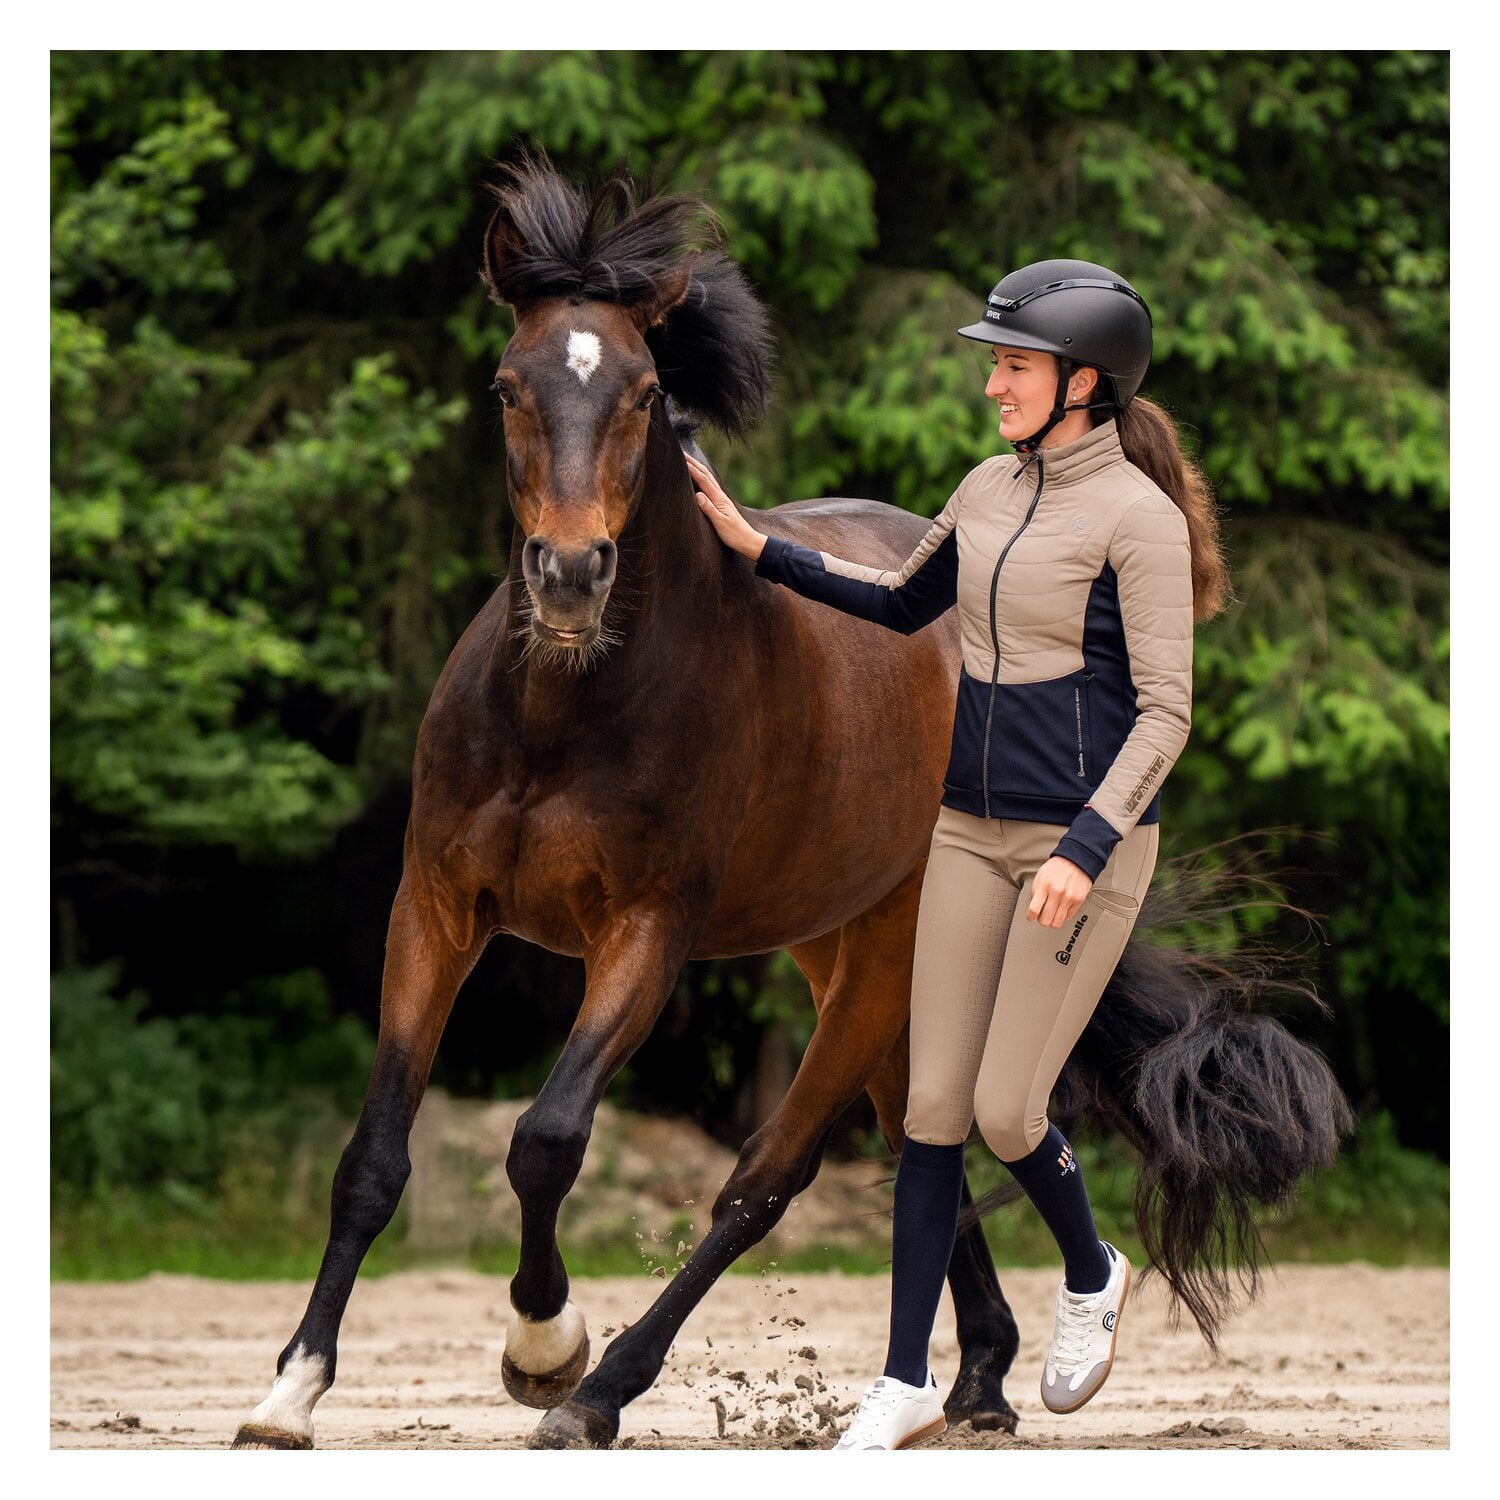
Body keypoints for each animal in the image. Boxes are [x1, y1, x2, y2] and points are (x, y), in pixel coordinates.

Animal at [233, 155, 1350, 1451]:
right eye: (510, 386)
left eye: (643, 391)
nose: (570, 576)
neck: (564, 710)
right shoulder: (436, 908)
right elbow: (373, 1155)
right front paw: (291, 1389)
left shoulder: (647, 935)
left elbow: (548, 1140)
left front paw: (545, 1350)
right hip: (849, 953)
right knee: (930, 1134)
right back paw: (975, 1380)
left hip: (887, 957)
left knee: (779, 1175)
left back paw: (614, 1390)